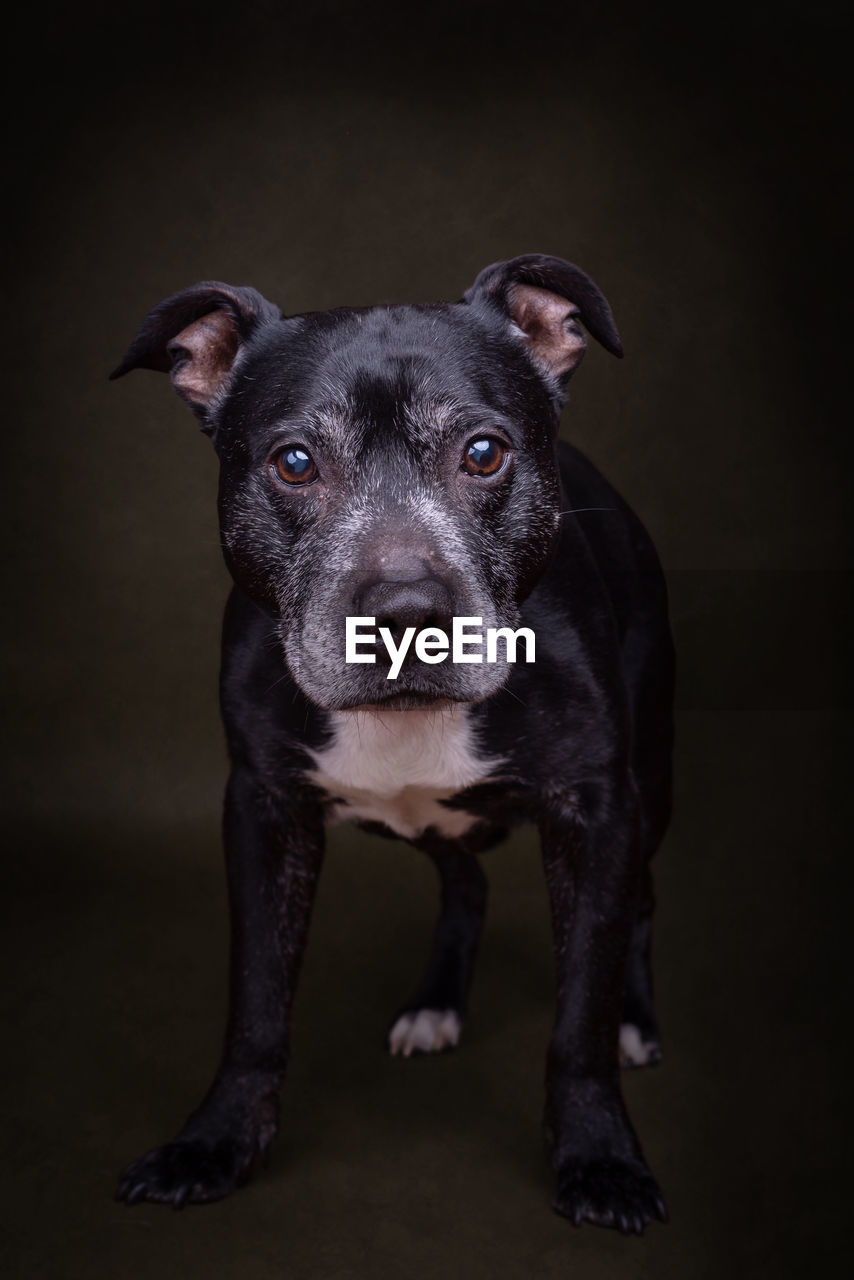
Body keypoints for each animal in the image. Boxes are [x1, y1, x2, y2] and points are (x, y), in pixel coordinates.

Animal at [112, 257, 676, 1228]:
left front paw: (600, 1154)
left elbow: (580, 1012)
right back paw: (437, 1003)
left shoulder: (598, 811)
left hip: (654, 782)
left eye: (483, 452)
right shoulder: (262, 811)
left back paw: (634, 1020)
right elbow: (255, 1001)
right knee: (465, 879)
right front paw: (215, 1142)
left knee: (635, 904)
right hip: (417, 820)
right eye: (294, 463)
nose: (408, 612)